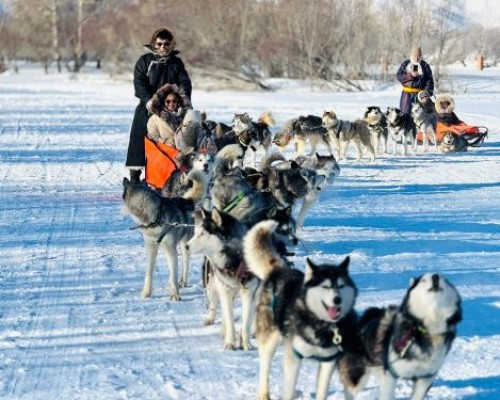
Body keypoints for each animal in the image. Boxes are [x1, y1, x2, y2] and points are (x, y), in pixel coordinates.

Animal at [122, 170, 208, 302]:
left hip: (183, 244)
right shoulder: (151, 248)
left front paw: (175, 294)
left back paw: (182, 281)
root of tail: (186, 201)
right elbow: (149, 272)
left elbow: (174, 274)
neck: (155, 217)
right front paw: (146, 292)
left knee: (184, 262)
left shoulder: (170, 249)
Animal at [243, 219, 358, 400]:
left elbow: (322, 391)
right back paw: (264, 393)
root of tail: (279, 269)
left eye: (340, 286)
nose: (337, 300)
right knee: (265, 368)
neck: (320, 324)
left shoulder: (328, 361)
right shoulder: (294, 357)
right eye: (325, 286)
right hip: (270, 340)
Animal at [338, 272, 462, 400]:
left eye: (444, 280)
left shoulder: (424, 380)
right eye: (423, 280)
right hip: (357, 376)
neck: (425, 330)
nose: (435, 277)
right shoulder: (390, 375)